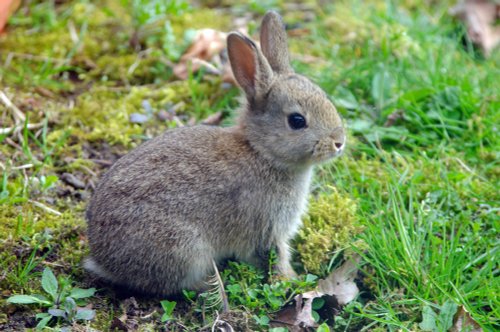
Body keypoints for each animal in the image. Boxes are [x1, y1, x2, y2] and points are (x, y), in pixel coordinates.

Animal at [84, 11, 346, 296]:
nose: (339, 142)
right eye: (297, 121)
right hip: (184, 248)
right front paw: (290, 280)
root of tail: (104, 260)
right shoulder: (267, 227)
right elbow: (275, 256)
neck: (262, 152)